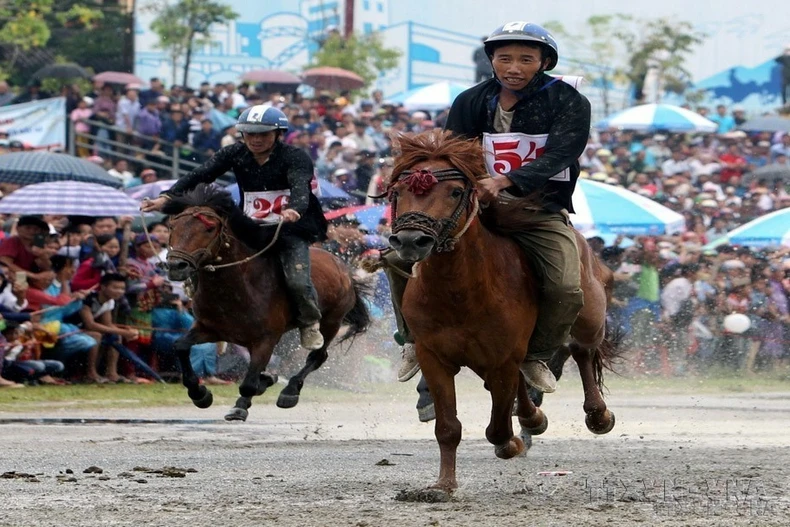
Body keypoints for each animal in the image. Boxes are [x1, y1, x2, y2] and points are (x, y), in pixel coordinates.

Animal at [163, 185, 372, 420]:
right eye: (172, 226)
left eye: (209, 229)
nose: (176, 266)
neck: (239, 288)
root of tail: (344, 268)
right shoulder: (209, 328)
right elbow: (180, 346)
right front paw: (200, 393)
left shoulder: (265, 339)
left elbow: (248, 383)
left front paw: (240, 405)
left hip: (332, 322)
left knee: (318, 355)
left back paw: (290, 391)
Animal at [388, 131, 620, 496]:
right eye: (398, 192)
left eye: (455, 192)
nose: (411, 240)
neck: (459, 292)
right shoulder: (434, 357)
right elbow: (448, 427)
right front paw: (442, 485)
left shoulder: (502, 361)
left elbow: (497, 428)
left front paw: (510, 444)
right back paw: (532, 418)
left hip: (588, 314)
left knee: (581, 350)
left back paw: (597, 415)